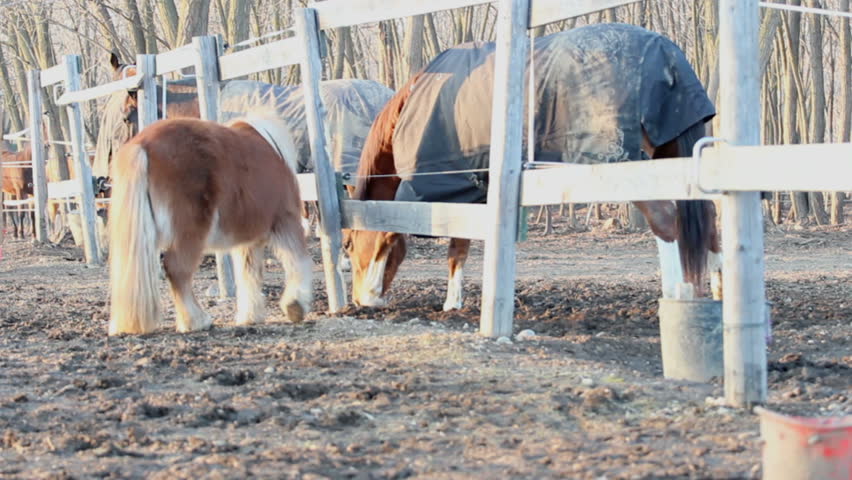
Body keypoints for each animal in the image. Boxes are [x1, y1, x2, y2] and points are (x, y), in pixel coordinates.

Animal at [108, 113, 312, 335]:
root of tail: (142, 144)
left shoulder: (248, 241)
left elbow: (249, 274)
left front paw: (250, 316)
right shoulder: (285, 220)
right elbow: (297, 260)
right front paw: (296, 305)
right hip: (190, 232)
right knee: (177, 269)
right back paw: (197, 321)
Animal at [343, 24, 724, 310]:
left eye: (347, 244)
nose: (359, 300)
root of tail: (667, 56)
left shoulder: (438, 190)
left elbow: (402, 234)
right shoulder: (468, 192)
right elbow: (459, 247)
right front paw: (454, 303)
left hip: (627, 168)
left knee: (666, 220)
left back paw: (677, 294)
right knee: (707, 218)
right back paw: (718, 290)